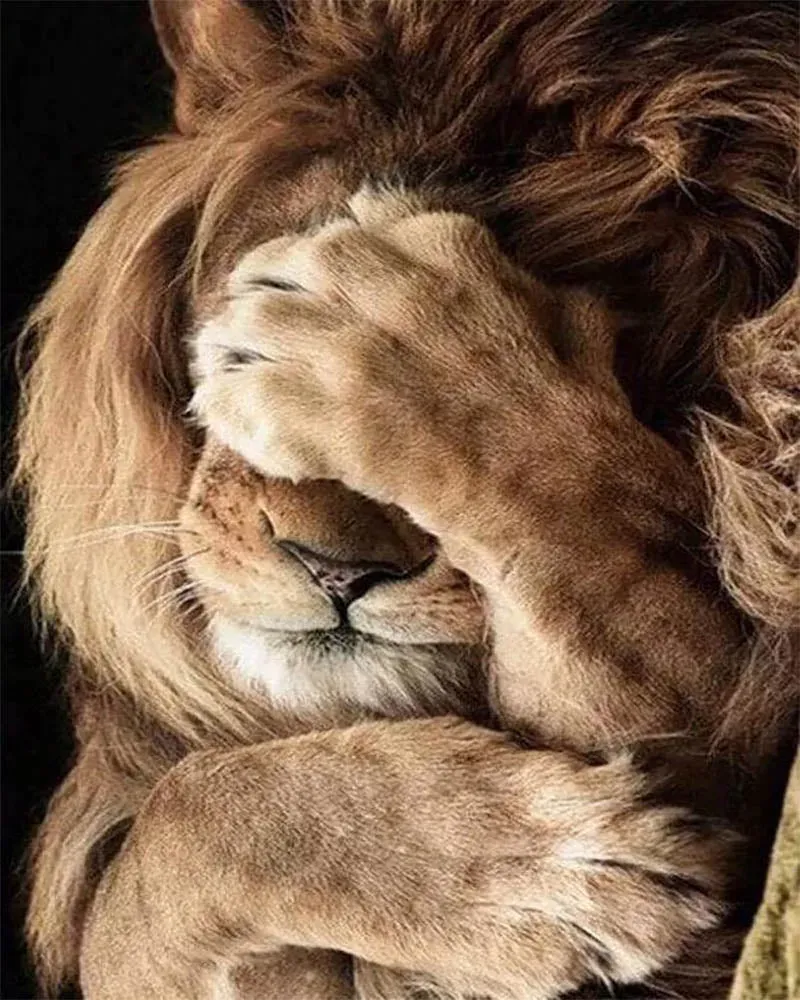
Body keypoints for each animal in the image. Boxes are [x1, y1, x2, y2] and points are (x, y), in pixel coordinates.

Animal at [15, 2, 798, 999]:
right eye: (236, 319)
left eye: (620, 364)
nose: (335, 570)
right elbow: (167, 841)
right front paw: (530, 878)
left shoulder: (735, 772)